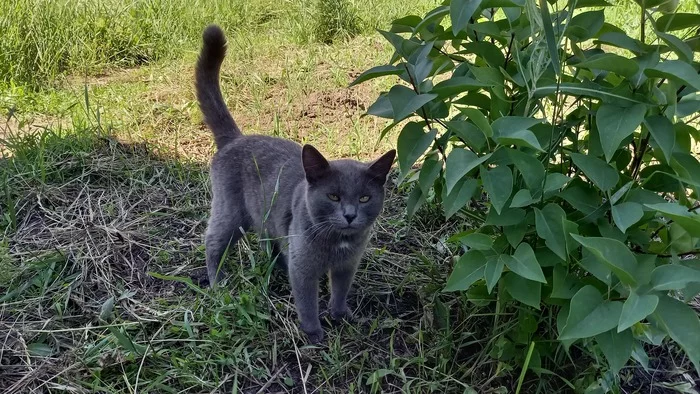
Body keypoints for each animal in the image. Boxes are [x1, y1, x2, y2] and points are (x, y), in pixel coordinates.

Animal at [194, 25, 396, 344]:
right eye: (333, 196)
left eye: (365, 198)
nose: (350, 215)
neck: (337, 244)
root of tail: (235, 139)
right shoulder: (303, 270)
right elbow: (307, 302)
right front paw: (314, 335)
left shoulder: (347, 266)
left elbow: (340, 291)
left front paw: (341, 315)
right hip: (231, 212)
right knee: (213, 242)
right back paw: (218, 284)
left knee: (269, 241)